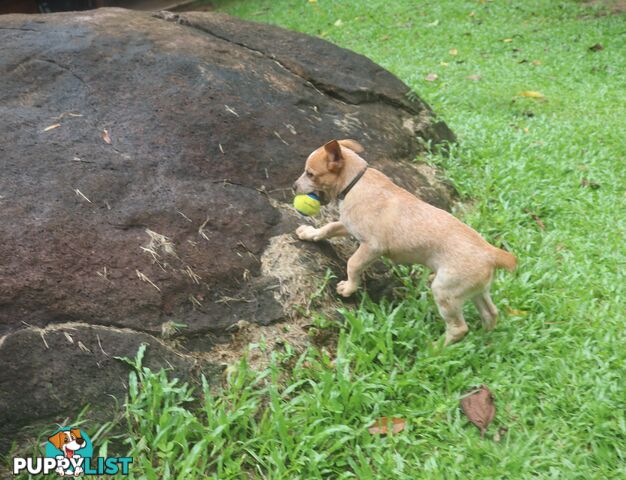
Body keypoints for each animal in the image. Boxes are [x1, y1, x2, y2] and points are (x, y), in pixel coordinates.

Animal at [290, 139, 516, 344]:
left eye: (310, 173)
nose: (293, 187)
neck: (355, 182)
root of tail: (491, 253)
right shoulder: (347, 224)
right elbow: (327, 229)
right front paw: (309, 233)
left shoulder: (372, 247)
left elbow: (353, 264)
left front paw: (349, 287)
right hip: (477, 291)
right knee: (491, 313)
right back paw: (484, 339)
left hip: (444, 291)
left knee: (459, 328)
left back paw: (434, 349)